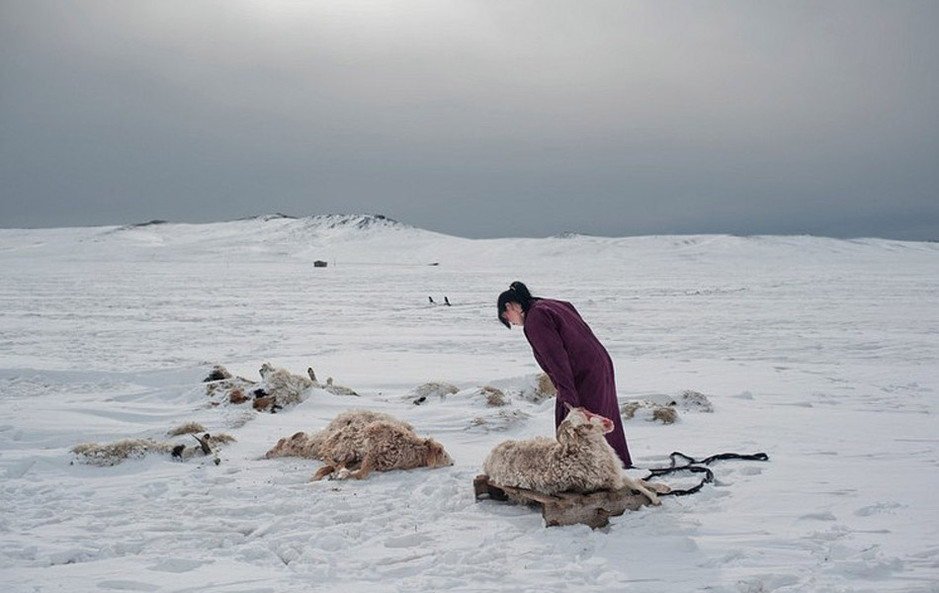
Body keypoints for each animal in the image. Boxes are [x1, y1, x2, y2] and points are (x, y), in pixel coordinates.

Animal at [478, 404, 668, 524]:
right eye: (583, 426)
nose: (578, 407)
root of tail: (489, 458)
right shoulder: (612, 480)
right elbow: (635, 484)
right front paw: (656, 498)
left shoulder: (616, 473)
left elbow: (636, 481)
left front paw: (662, 487)